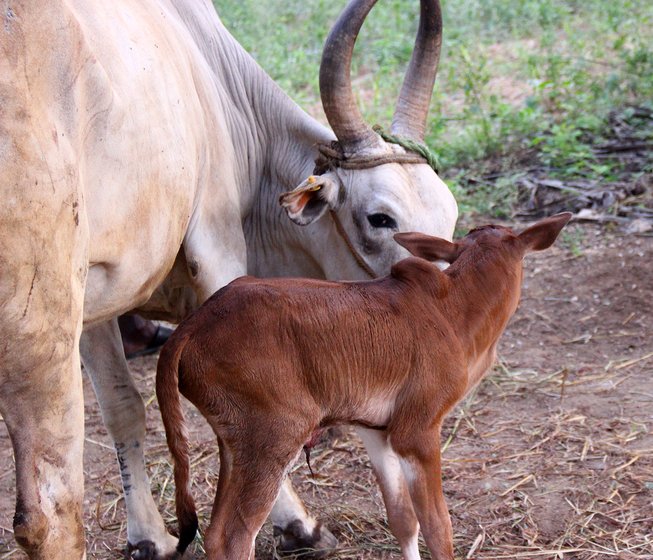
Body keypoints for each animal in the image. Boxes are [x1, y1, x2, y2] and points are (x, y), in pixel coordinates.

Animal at [0, 1, 456, 560]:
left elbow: (122, 406)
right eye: (380, 218)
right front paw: (298, 524)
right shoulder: (217, 248)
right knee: (50, 513)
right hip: (39, 322)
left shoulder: (98, 291)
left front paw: (150, 537)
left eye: (451, 216)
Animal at [157, 212, 572, 556]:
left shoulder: (377, 431)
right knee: (234, 536)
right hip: (275, 436)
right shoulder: (418, 430)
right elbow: (438, 527)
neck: (453, 309)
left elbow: (404, 520)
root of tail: (190, 328)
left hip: (235, 441)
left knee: (214, 534)